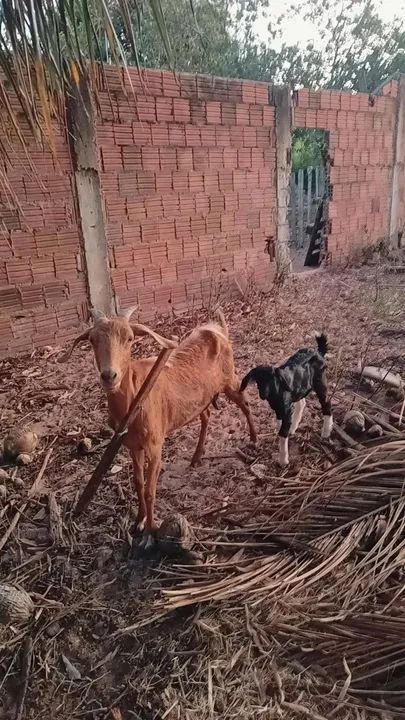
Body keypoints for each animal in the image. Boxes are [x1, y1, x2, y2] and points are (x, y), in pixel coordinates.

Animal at [60, 306, 257, 549]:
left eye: (130, 338)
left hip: (229, 379)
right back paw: (196, 456)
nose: (109, 376)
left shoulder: (155, 445)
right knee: (206, 415)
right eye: (92, 340)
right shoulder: (131, 445)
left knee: (244, 404)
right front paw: (138, 521)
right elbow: (138, 483)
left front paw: (149, 533)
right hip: (201, 399)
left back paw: (254, 439)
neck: (135, 399)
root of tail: (217, 329)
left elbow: (150, 490)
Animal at [240, 333, 332, 467]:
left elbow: (282, 433)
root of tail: (318, 352)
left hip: (320, 382)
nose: (263, 394)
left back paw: (326, 433)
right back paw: (294, 427)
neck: (276, 394)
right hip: (301, 387)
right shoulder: (279, 410)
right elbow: (280, 425)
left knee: (327, 404)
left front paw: (283, 460)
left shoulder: (286, 410)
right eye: (258, 380)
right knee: (302, 402)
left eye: (273, 380)